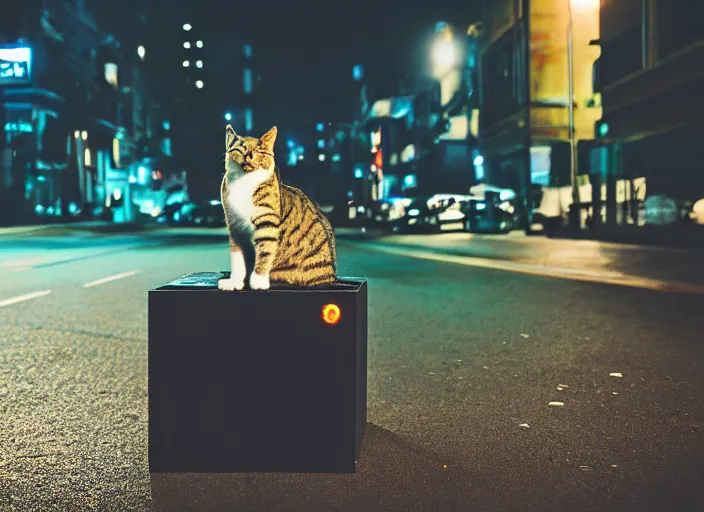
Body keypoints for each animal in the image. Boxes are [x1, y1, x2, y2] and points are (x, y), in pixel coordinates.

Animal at [219, 124, 336, 290]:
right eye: (241, 148)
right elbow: (237, 258)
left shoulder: (267, 220)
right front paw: (234, 281)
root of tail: (332, 277)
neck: (244, 181)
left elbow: (265, 252)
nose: (250, 155)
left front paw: (258, 281)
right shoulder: (234, 225)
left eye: (260, 149)